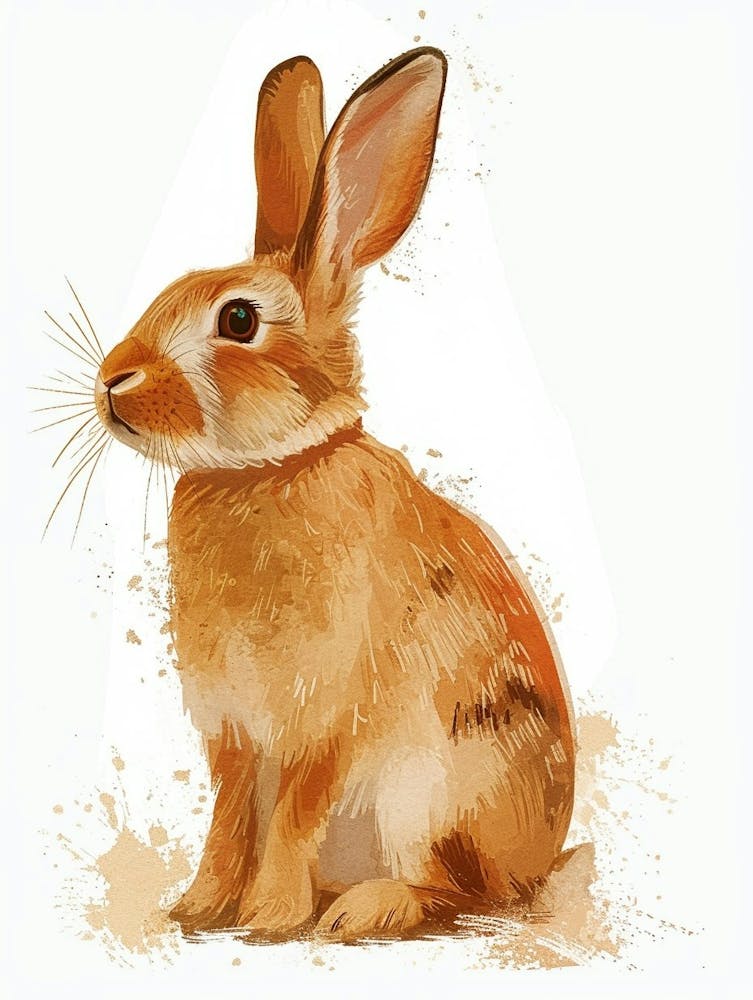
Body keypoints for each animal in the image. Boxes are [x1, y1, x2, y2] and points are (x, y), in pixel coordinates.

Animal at [92, 48, 575, 940]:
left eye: (238, 321)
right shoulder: (233, 732)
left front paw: (269, 918)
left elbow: (292, 814)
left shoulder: (324, 717)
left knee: (459, 892)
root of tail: (540, 859)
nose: (113, 383)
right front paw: (198, 909)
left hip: (433, 792)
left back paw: (360, 909)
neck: (267, 467)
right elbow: (230, 817)